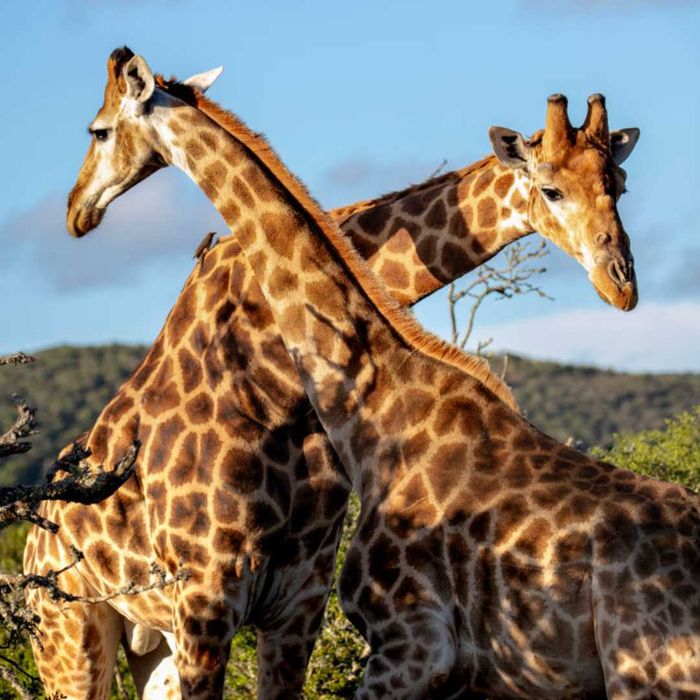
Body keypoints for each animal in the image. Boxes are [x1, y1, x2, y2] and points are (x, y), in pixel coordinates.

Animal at [54, 47, 700, 699]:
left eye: (97, 129)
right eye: (553, 189)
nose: (77, 210)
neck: (375, 405)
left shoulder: (409, 644)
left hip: (646, 675)